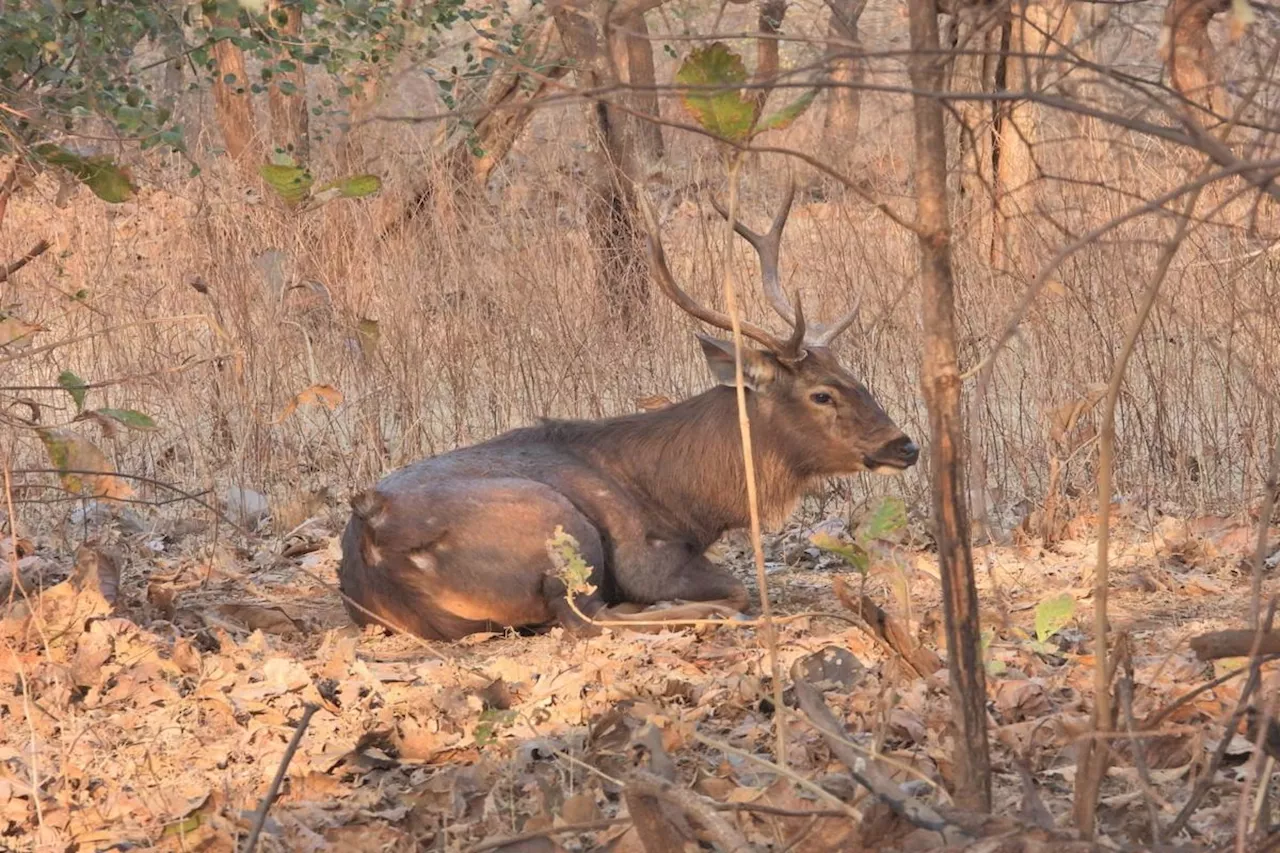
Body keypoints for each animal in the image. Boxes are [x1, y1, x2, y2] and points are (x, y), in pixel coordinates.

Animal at [337, 184, 921, 637]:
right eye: (822, 393)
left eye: (854, 377)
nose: (905, 445)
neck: (690, 503)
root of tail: (373, 541)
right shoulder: (647, 556)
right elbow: (736, 586)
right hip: (558, 526)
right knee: (586, 619)